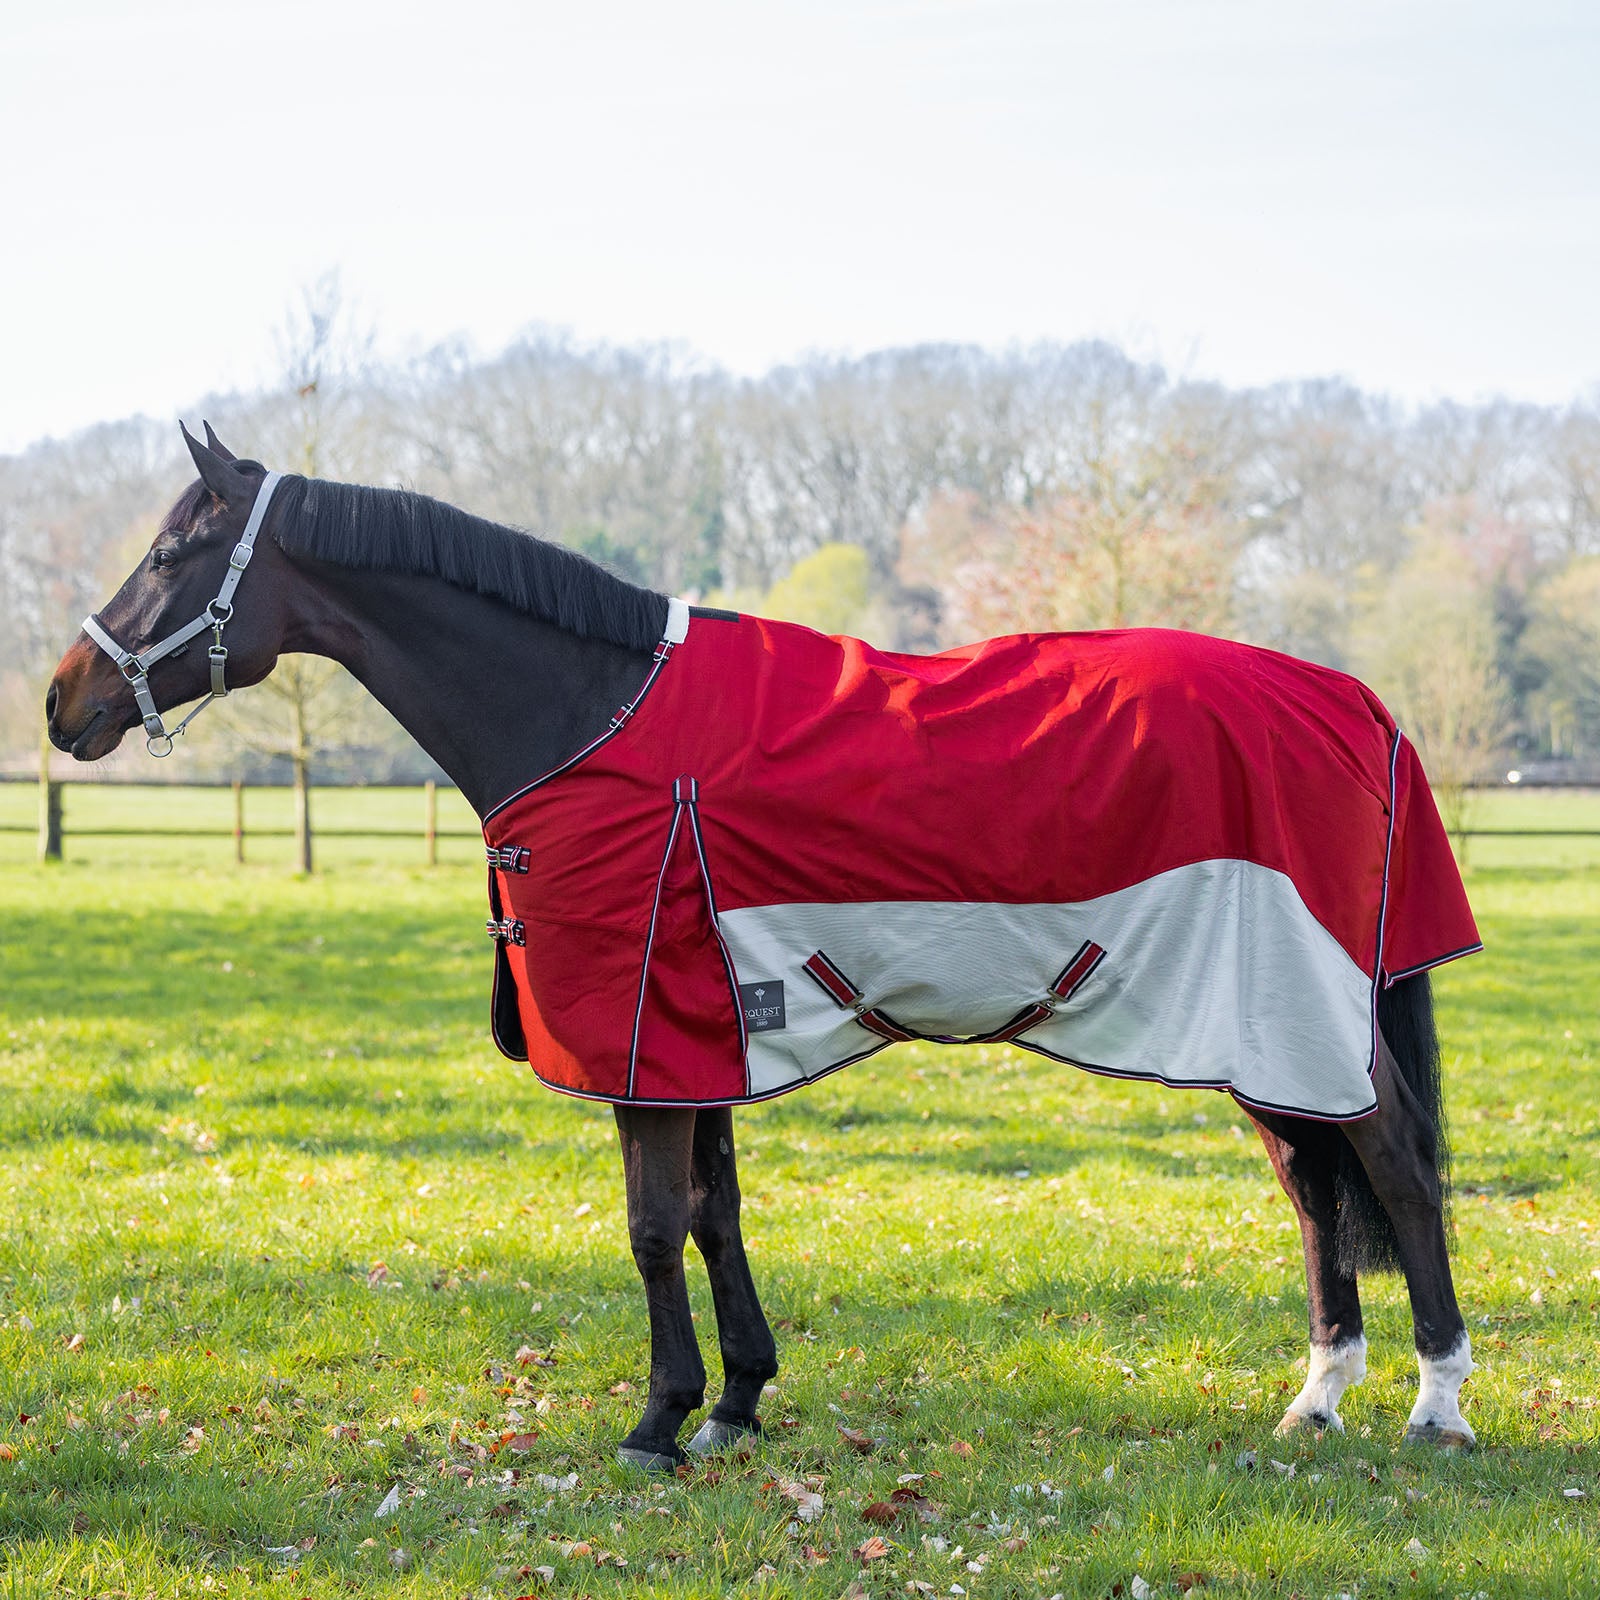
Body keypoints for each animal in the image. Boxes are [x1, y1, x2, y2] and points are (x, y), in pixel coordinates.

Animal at [46, 424, 1480, 1469]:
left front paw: (657, 1419)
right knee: (1314, 1186)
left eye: (172, 551)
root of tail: (1351, 697)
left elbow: (647, 1225)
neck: (589, 716)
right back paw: (1317, 1398)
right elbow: (711, 1215)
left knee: (1397, 1169)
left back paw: (1438, 1405)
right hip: (1259, 1031)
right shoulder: (706, 1031)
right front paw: (736, 1399)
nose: (65, 699)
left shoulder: (643, 1036)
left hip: (1305, 1012)